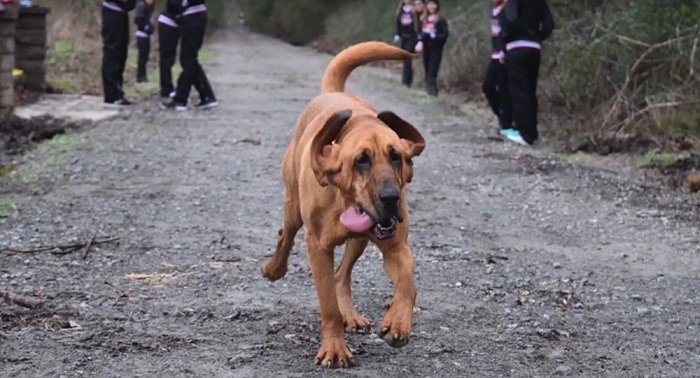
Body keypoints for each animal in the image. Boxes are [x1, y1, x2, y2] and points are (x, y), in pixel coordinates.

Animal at [262, 42, 426, 370]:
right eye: (361, 160)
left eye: (396, 157)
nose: (391, 198)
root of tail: (332, 92)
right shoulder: (318, 247)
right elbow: (328, 305)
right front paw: (335, 349)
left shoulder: (396, 248)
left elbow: (408, 282)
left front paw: (398, 323)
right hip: (293, 208)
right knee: (286, 235)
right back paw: (274, 268)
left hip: (359, 240)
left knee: (342, 275)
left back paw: (352, 315)